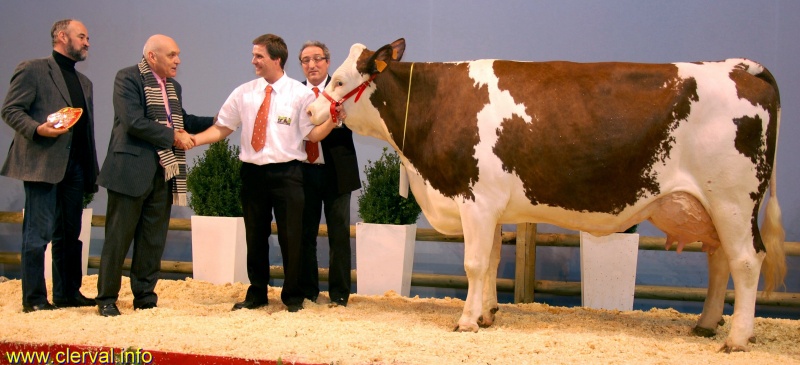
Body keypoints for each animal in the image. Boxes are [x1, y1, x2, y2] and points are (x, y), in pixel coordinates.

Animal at [310, 38, 784, 352]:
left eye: (339, 80)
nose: (311, 110)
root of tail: (736, 67)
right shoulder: (492, 207)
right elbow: (493, 261)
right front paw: (487, 314)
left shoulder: (476, 201)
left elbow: (474, 263)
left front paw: (466, 322)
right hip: (710, 207)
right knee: (719, 260)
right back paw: (706, 325)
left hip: (733, 200)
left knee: (745, 261)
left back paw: (736, 338)